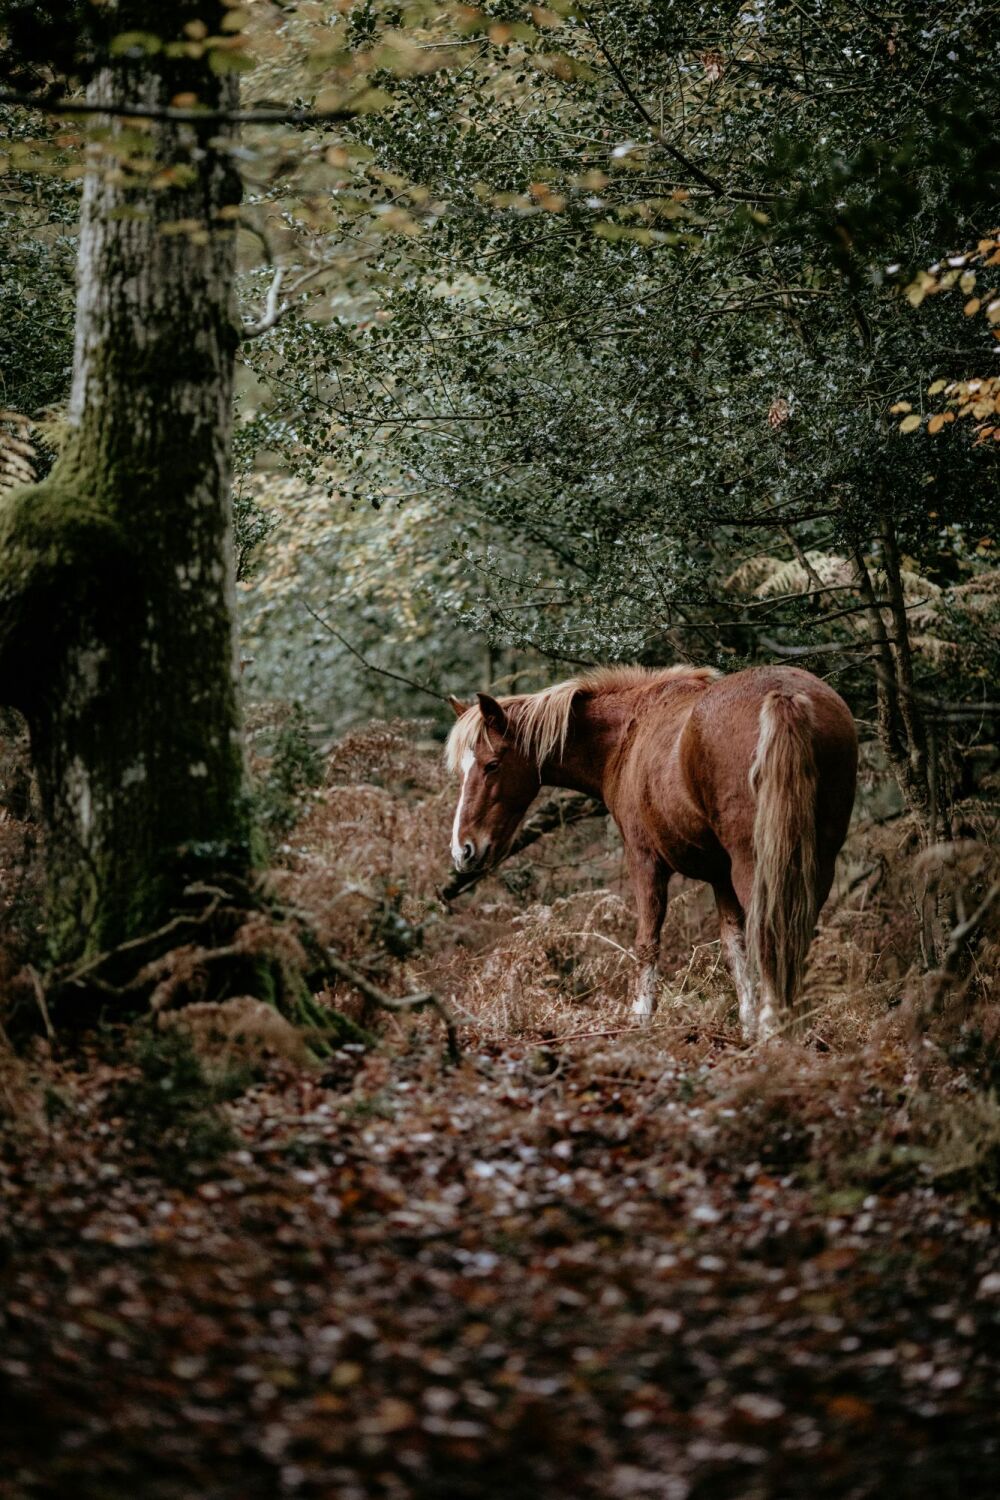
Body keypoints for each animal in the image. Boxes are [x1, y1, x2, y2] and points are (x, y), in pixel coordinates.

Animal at [446, 664, 857, 1041]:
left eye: (492, 764)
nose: (463, 849)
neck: (626, 737)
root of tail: (784, 696)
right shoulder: (720, 877)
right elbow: (735, 947)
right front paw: (747, 1026)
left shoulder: (644, 860)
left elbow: (647, 942)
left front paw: (640, 1020)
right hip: (816, 863)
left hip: (755, 865)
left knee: (772, 936)